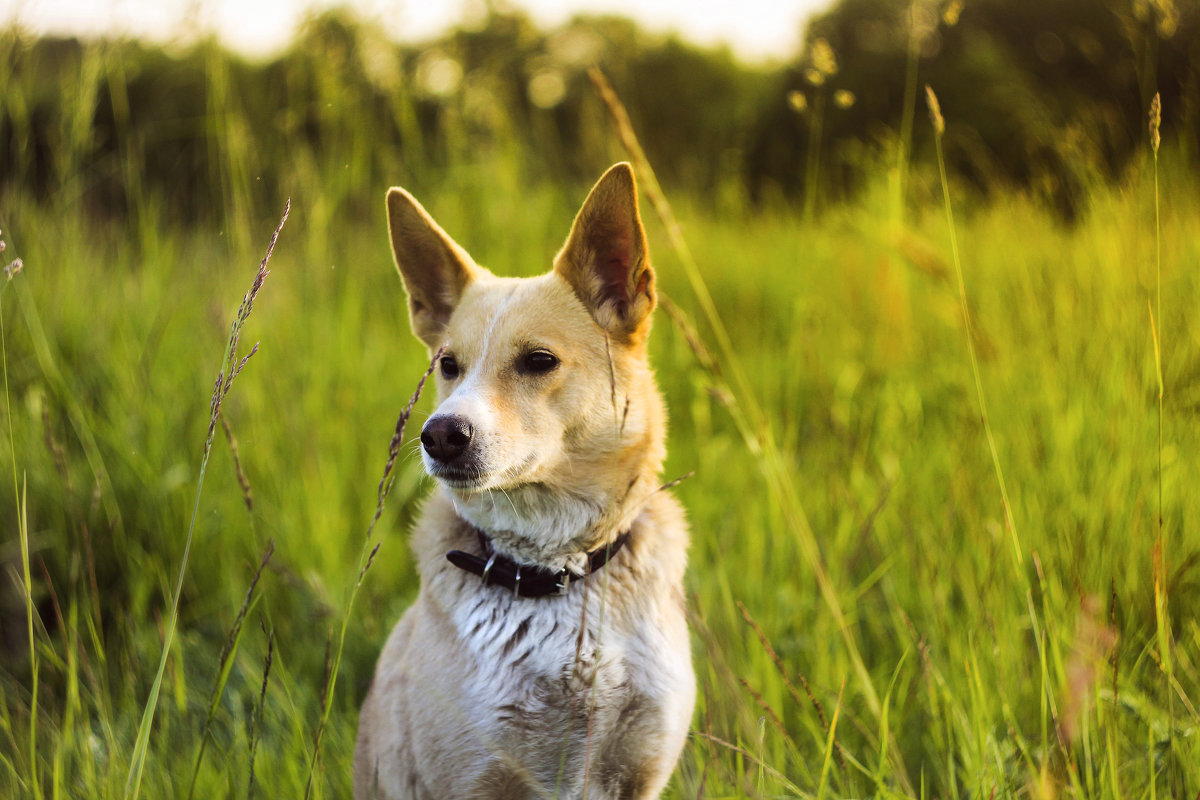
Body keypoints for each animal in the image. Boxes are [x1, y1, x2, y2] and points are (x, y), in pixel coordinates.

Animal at [350, 164, 700, 800]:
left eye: (539, 361)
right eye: (447, 365)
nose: (438, 435)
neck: (556, 570)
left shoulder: (639, 770)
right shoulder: (474, 777)